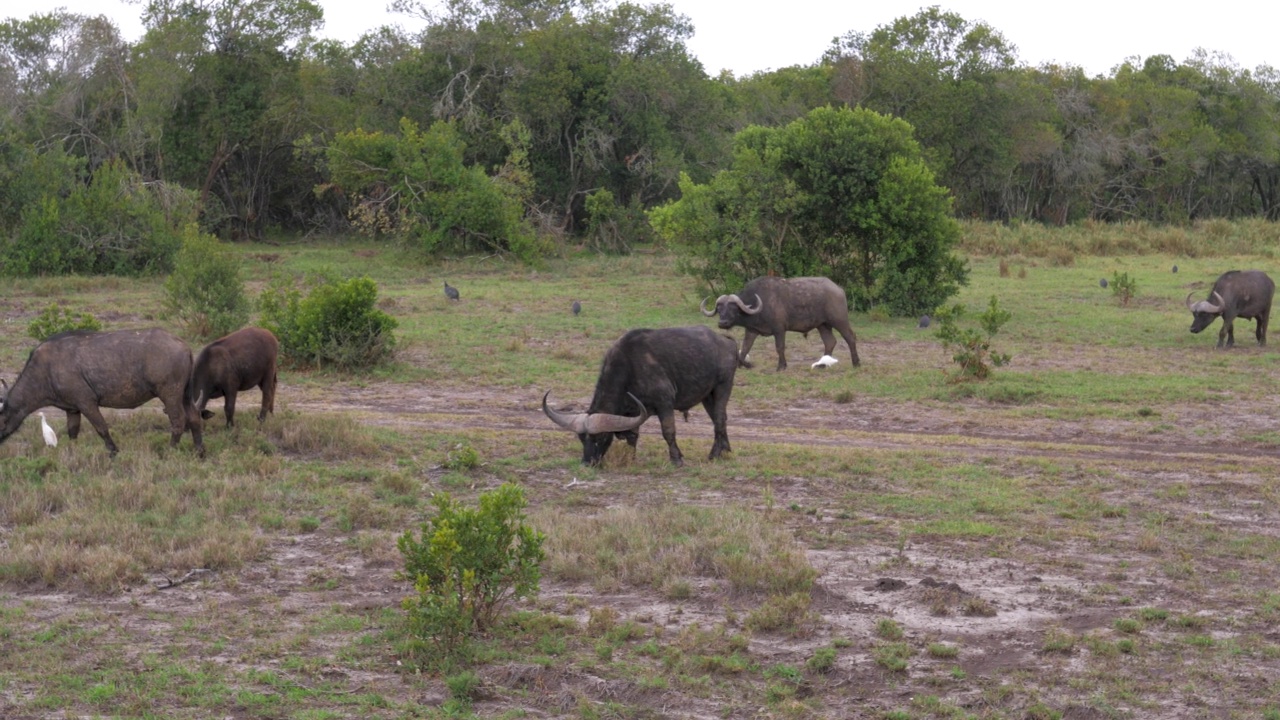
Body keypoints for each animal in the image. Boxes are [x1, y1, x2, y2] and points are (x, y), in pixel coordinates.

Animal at [0, 326, 203, 453]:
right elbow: (72, 433)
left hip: (170, 394)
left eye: (1, 421)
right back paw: (200, 452)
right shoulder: (72, 409)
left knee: (178, 421)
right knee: (194, 417)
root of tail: (183, 345)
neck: (44, 370)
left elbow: (102, 428)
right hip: (185, 395)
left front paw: (114, 452)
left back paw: (169, 451)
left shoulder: (87, 403)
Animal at [542, 325, 742, 466]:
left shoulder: (665, 403)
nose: (586, 463)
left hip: (723, 386)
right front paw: (631, 458)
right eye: (581, 439)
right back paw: (726, 450)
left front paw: (676, 459)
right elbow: (632, 436)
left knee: (719, 419)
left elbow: (668, 431)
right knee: (720, 419)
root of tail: (727, 341)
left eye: (601, 438)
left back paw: (714, 454)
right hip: (707, 395)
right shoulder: (633, 411)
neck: (630, 367)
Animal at [701, 274, 860, 368]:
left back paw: (856, 362)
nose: (722, 323)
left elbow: (779, 347)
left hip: (839, 320)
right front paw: (743, 364)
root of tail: (838, 288)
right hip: (822, 325)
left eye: (733, 308)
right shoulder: (752, 331)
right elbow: (745, 348)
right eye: (719, 309)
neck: (761, 303)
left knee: (850, 337)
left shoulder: (779, 329)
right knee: (830, 342)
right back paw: (823, 363)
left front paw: (781, 365)